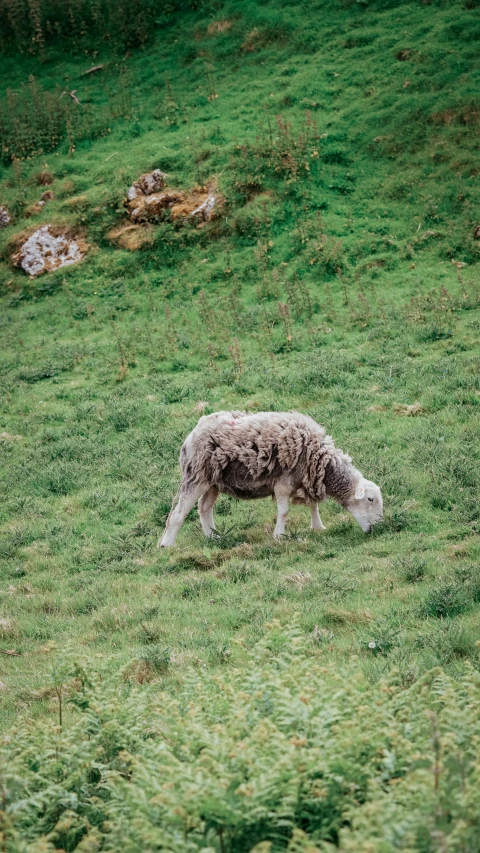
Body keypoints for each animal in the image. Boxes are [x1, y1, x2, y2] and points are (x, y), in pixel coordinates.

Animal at [158, 412, 382, 544]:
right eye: (370, 499)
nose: (377, 528)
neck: (322, 463)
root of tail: (190, 435)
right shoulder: (284, 482)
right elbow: (284, 511)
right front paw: (279, 535)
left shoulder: (306, 478)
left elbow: (313, 505)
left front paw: (318, 527)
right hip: (196, 476)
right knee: (178, 513)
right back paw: (167, 545)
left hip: (213, 482)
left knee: (204, 508)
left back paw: (214, 537)